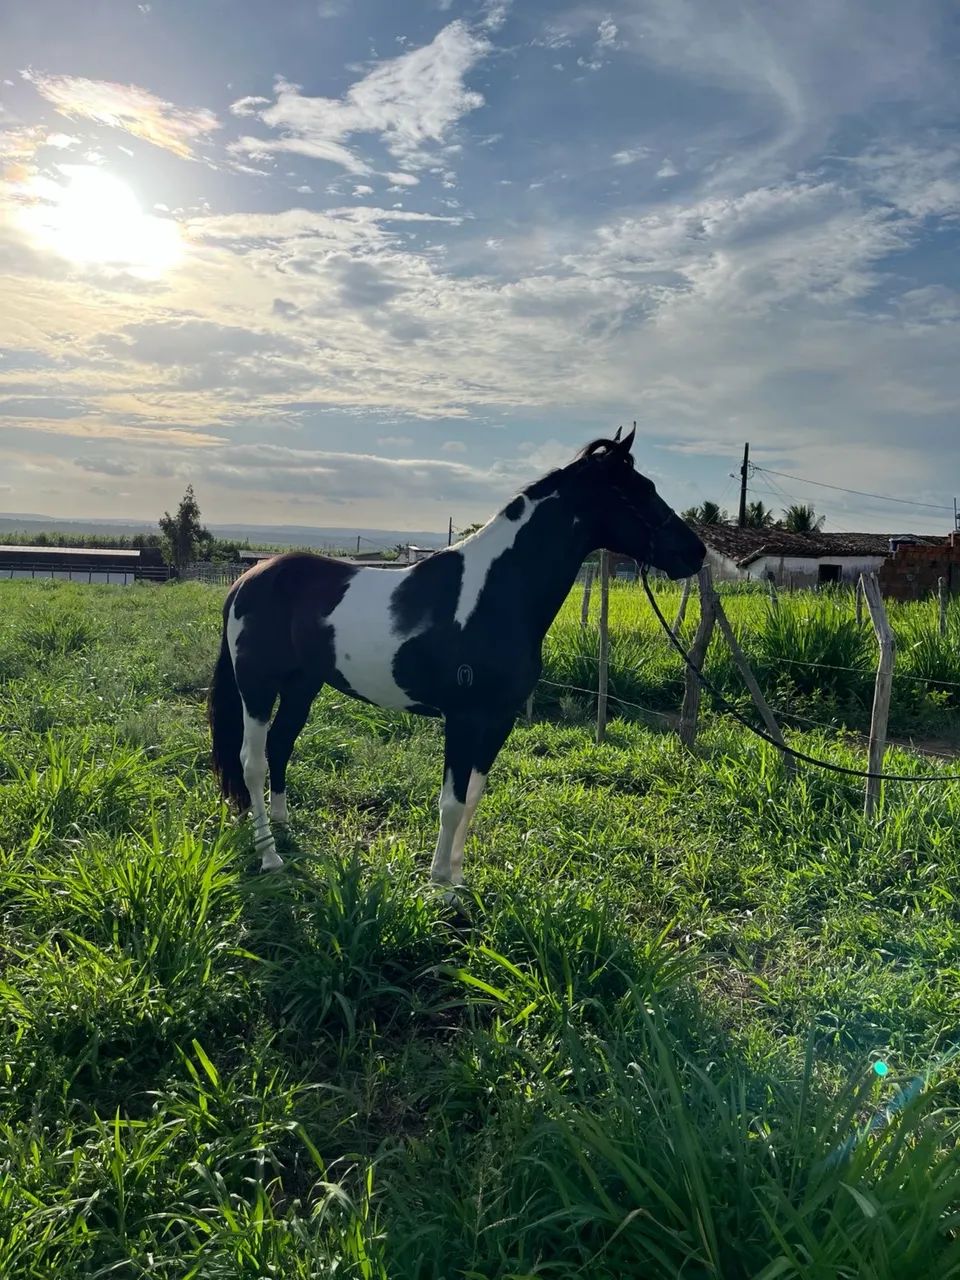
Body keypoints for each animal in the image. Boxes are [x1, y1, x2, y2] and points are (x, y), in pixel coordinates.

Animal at [207, 427, 706, 886]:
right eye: (635, 490)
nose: (695, 552)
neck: (494, 595)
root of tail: (249, 578)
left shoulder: (498, 719)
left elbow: (473, 799)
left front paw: (458, 881)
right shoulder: (464, 718)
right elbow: (451, 802)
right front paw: (438, 887)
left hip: (303, 686)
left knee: (280, 745)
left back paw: (283, 827)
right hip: (257, 687)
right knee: (252, 762)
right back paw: (269, 856)